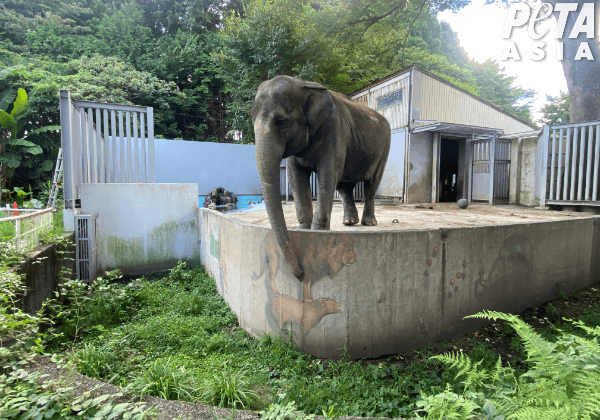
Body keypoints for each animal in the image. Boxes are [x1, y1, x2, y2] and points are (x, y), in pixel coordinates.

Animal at [251, 75, 392, 278]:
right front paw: (303, 230)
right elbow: (296, 177)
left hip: (384, 148)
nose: (301, 273)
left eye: (280, 121)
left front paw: (318, 232)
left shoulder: (333, 128)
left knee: (371, 184)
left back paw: (369, 223)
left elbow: (328, 173)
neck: (302, 84)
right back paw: (349, 222)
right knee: (344, 186)